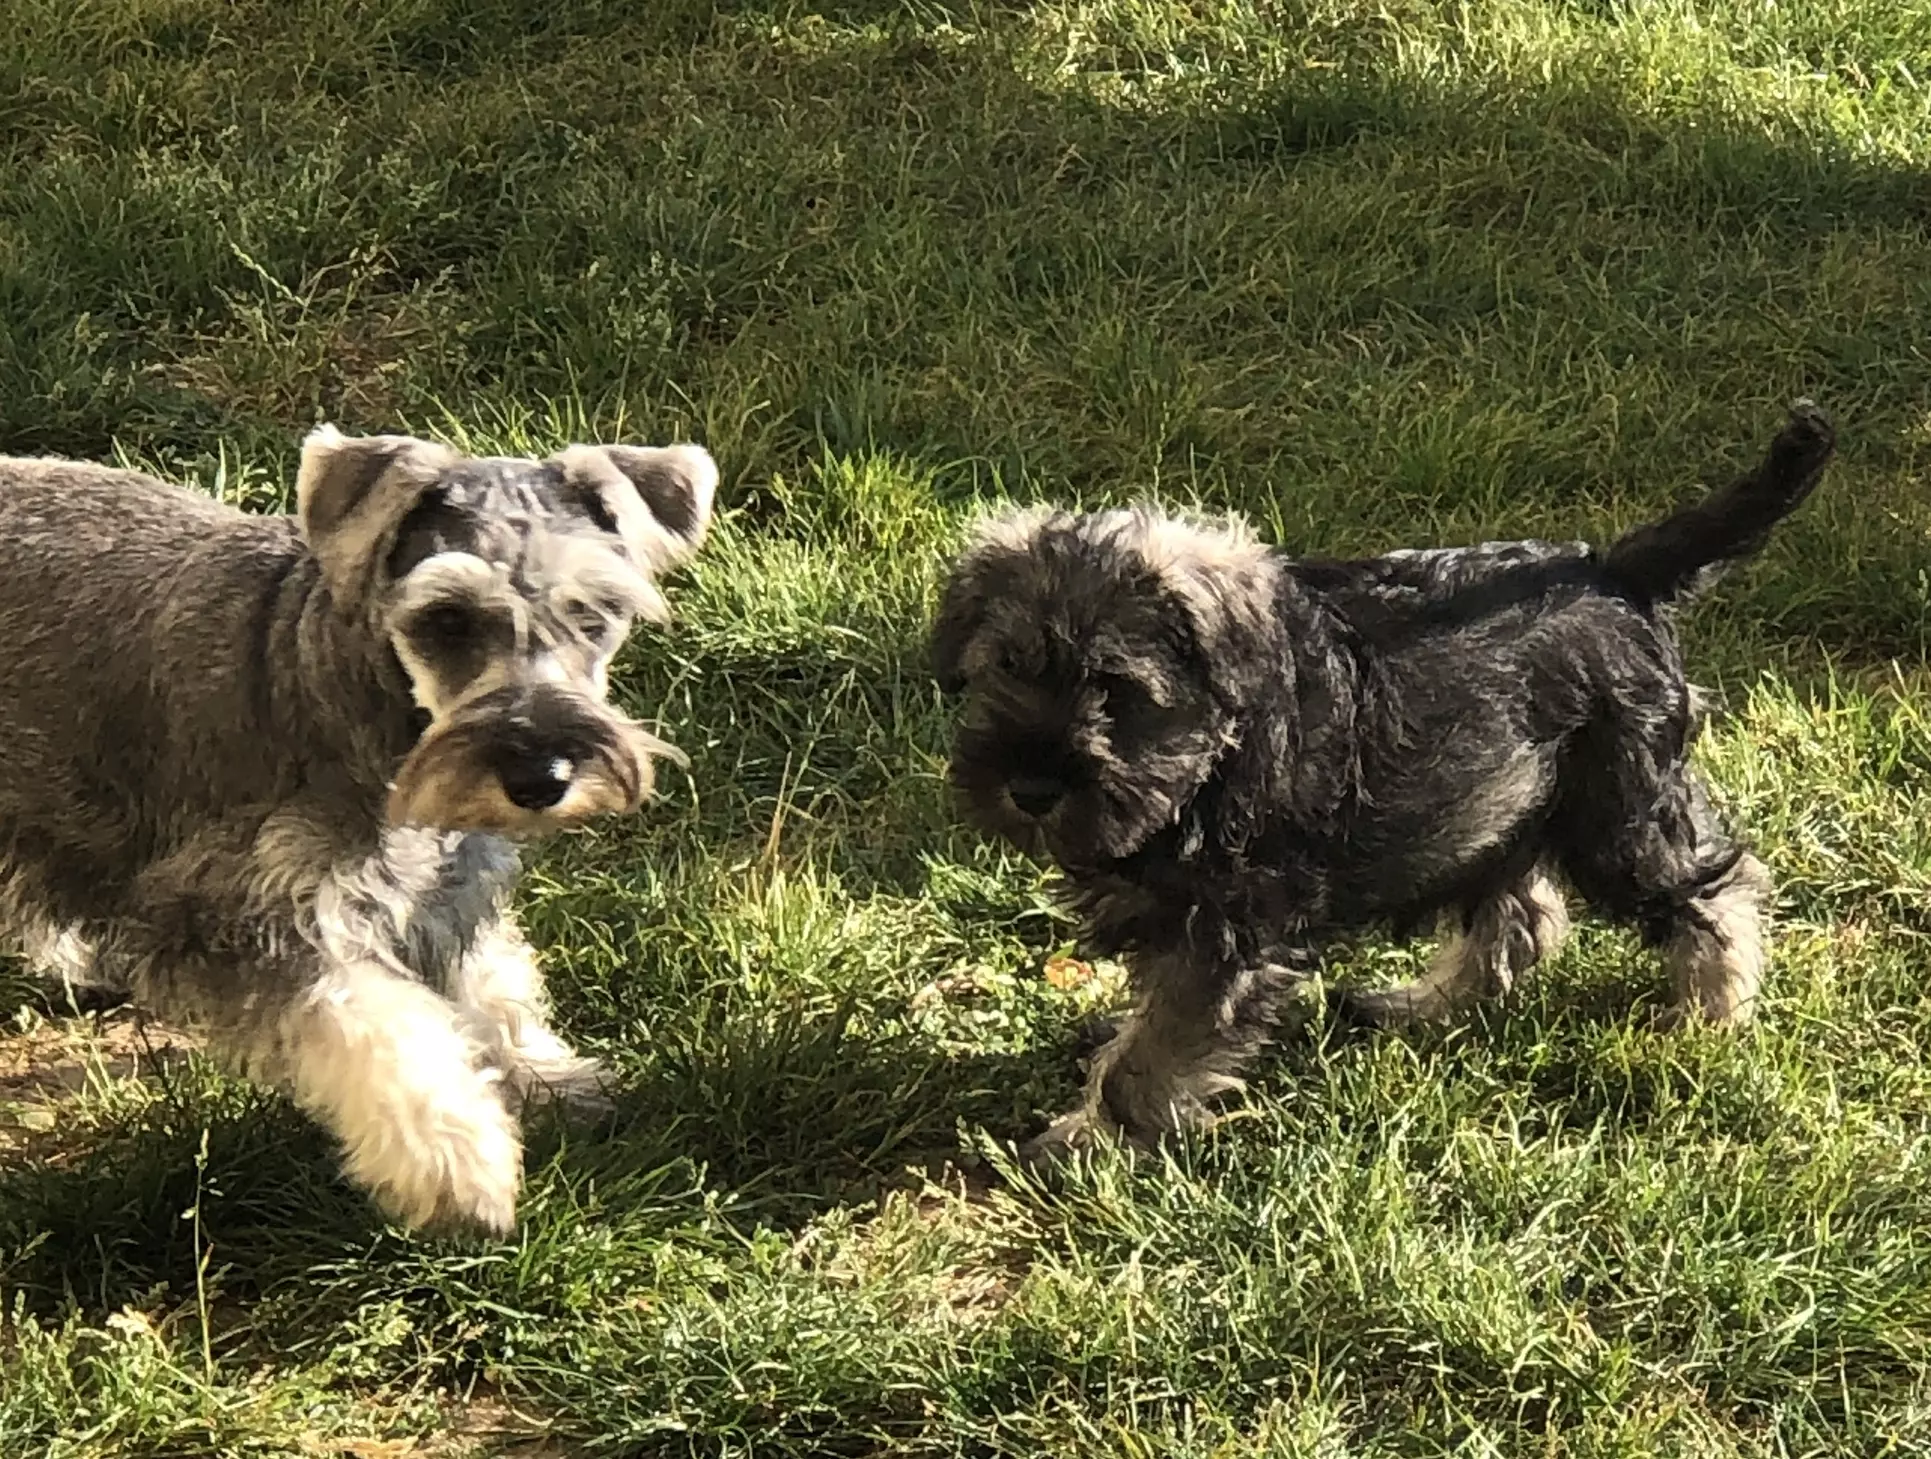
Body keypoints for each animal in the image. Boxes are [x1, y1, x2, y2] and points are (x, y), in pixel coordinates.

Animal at [0, 422, 718, 1227]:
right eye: (447, 618)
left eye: (594, 612)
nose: (543, 776)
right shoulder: (245, 915)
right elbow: (377, 1022)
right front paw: (456, 1159)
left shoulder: (449, 886)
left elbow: (488, 983)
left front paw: (541, 1073)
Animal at [934, 401, 1838, 1165]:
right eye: (1006, 667)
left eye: (1116, 690)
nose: (1028, 787)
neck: (1211, 760)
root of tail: (1616, 574)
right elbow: (1148, 1023)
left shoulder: (1224, 933)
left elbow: (1154, 1049)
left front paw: (1086, 1141)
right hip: (1497, 799)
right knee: (1521, 916)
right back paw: (1414, 1005)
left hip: (1618, 809)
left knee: (1713, 893)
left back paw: (1706, 1020)